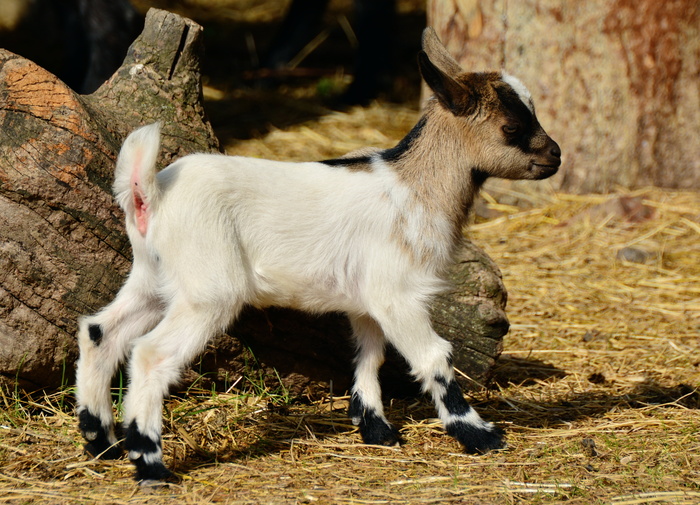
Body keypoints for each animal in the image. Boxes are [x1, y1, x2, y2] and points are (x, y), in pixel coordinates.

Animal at [74, 27, 560, 480]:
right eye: (511, 127)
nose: (555, 156)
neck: (415, 188)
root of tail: (148, 194)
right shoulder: (397, 294)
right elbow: (434, 357)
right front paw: (481, 435)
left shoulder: (367, 299)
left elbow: (369, 354)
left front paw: (376, 429)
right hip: (207, 290)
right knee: (149, 354)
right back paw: (150, 464)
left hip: (153, 277)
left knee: (101, 332)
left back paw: (101, 442)